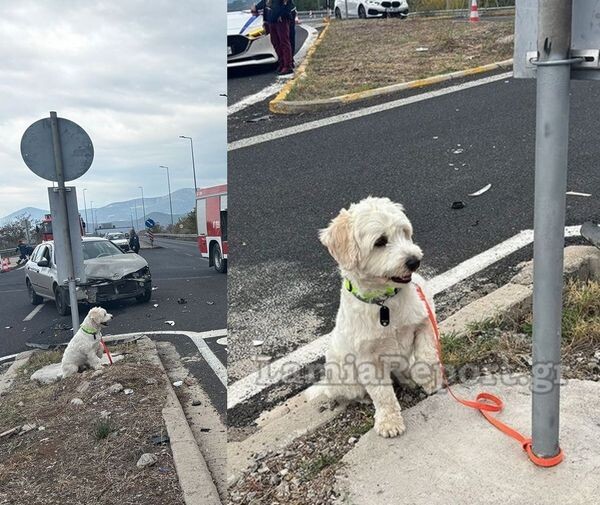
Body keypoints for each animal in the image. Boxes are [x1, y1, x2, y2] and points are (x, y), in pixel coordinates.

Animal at [312, 197, 442, 438]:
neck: (385, 303)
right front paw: (389, 422)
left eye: (404, 232)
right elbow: (382, 394)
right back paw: (363, 398)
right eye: (380, 241)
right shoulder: (367, 359)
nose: (414, 261)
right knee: (353, 392)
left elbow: (427, 355)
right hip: (344, 375)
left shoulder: (425, 319)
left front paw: (428, 379)